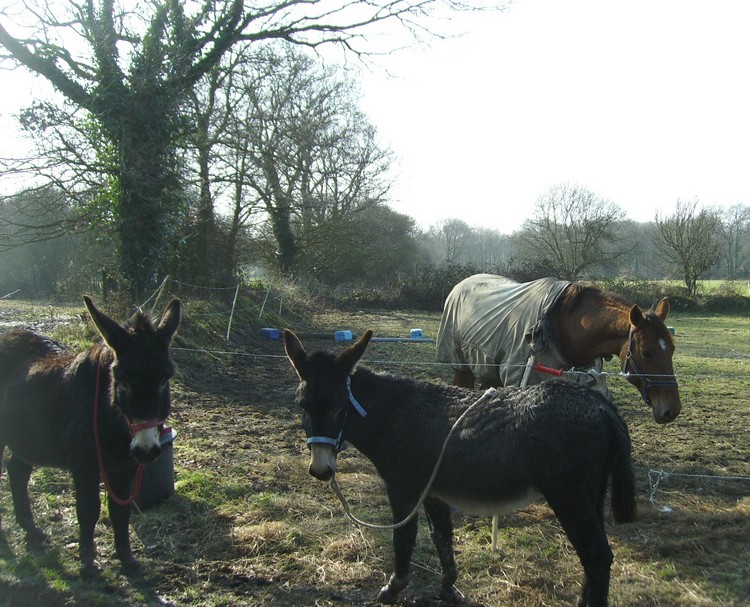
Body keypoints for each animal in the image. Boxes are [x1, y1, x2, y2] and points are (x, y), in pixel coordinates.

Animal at [0, 296, 181, 576]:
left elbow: (120, 511)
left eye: (164, 379)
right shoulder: (84, 466)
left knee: (17, 471)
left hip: (28, 439)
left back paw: (30, 528)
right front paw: (87, 562)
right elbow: (88, 509)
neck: (111, 419)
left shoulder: (125, 467)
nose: (146, 450)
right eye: (122, 380)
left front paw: (127, 559)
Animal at [284, 328, 636, 607]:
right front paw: (449, 589)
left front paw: (393, 589)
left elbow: (404, 536)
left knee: (597, 556)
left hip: (568, 496)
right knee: (594, 557)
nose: (321, 470)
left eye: (340, 407)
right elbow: (443, 537)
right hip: (591, 494)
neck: (393, 414)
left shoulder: (403, 488)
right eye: (303, 406)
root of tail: (600, 404)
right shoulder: (432, 490)